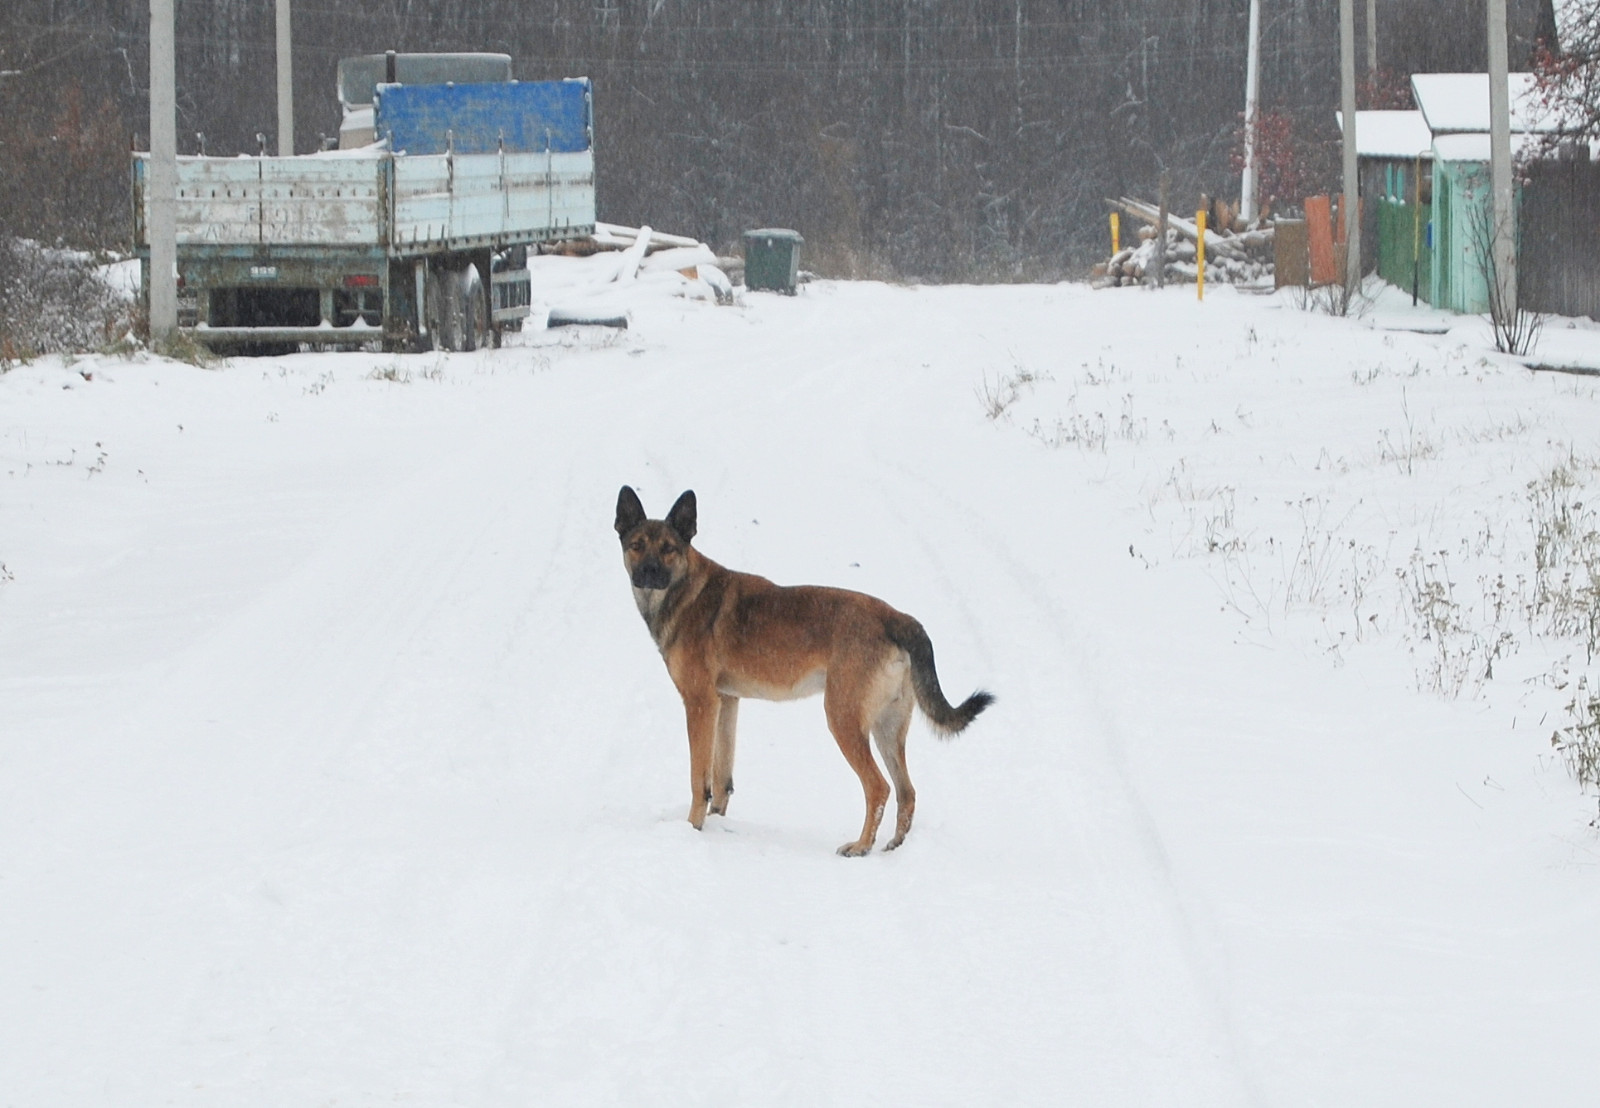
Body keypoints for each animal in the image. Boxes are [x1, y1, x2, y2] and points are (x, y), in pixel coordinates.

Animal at [611, 483, 985, 858]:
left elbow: (698, 779)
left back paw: (861, 846)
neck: (684, 590)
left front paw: (693, 828)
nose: (649, 572)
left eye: (668, 549)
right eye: (637, 545)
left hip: (843, 718)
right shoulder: (726, 702)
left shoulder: (699, 703)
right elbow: (721, 776)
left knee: (879, 787)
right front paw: (716, 820)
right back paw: (892, 846)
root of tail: (896, 617)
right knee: (907, 791)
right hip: (887, 726)